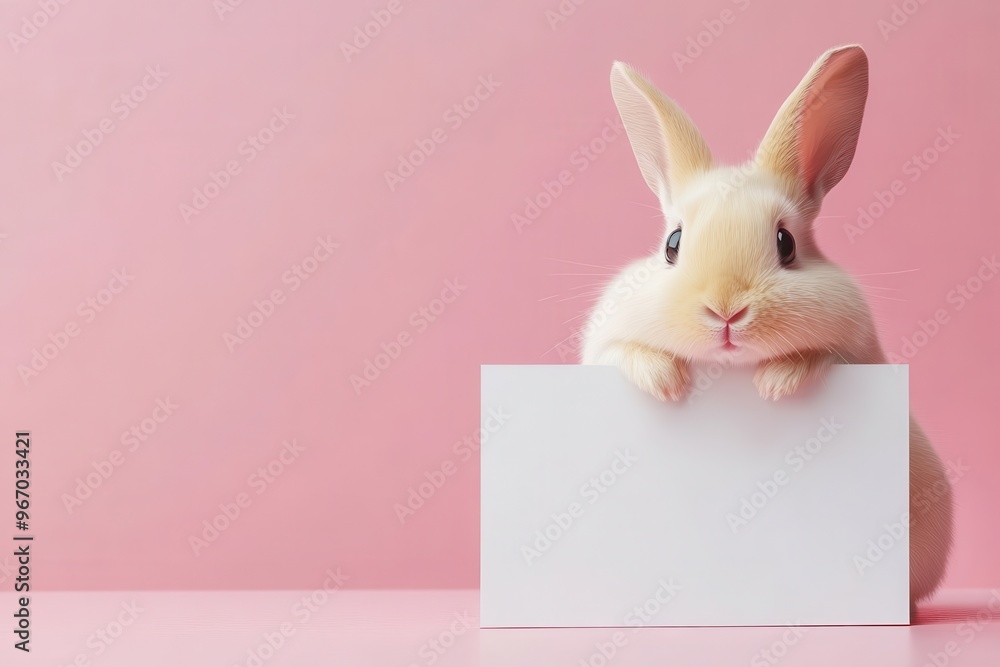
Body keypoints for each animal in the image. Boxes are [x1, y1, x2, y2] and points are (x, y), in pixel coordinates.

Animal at [580, 45, 953, 605]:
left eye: (786, 244)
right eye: (672, 245)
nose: (726, 311)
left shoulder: (857, 351)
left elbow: (819, 355)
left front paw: (776, 383)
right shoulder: (603, 346)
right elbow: (626, 352)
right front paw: (666, 382)